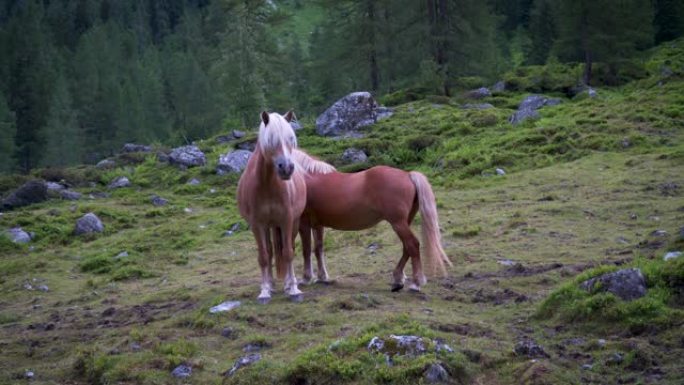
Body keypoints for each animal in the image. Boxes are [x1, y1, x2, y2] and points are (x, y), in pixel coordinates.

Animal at [236, 111, 332, 304]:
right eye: (271, 140)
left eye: (291, 140)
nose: (287, 168)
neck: (267, 185)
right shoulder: (257, 225)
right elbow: (264, 256)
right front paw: (265, 291)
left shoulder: (287, 220)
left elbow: (288, 252)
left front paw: (293, 289)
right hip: (268, 226)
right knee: (270, 251)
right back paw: (271, 285)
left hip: (291, 224)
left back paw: (288, 284)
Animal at [298, 163, 452, 292]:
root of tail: (407, 174)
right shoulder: (318, 225)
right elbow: (318, 249)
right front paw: (322, 277)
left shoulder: (303, 223)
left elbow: (306, 250)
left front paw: (306, 278)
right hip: (404, 222)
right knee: (407, 247)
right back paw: (398, 280)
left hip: (398, 223)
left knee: (412, 244)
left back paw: (416, 283)